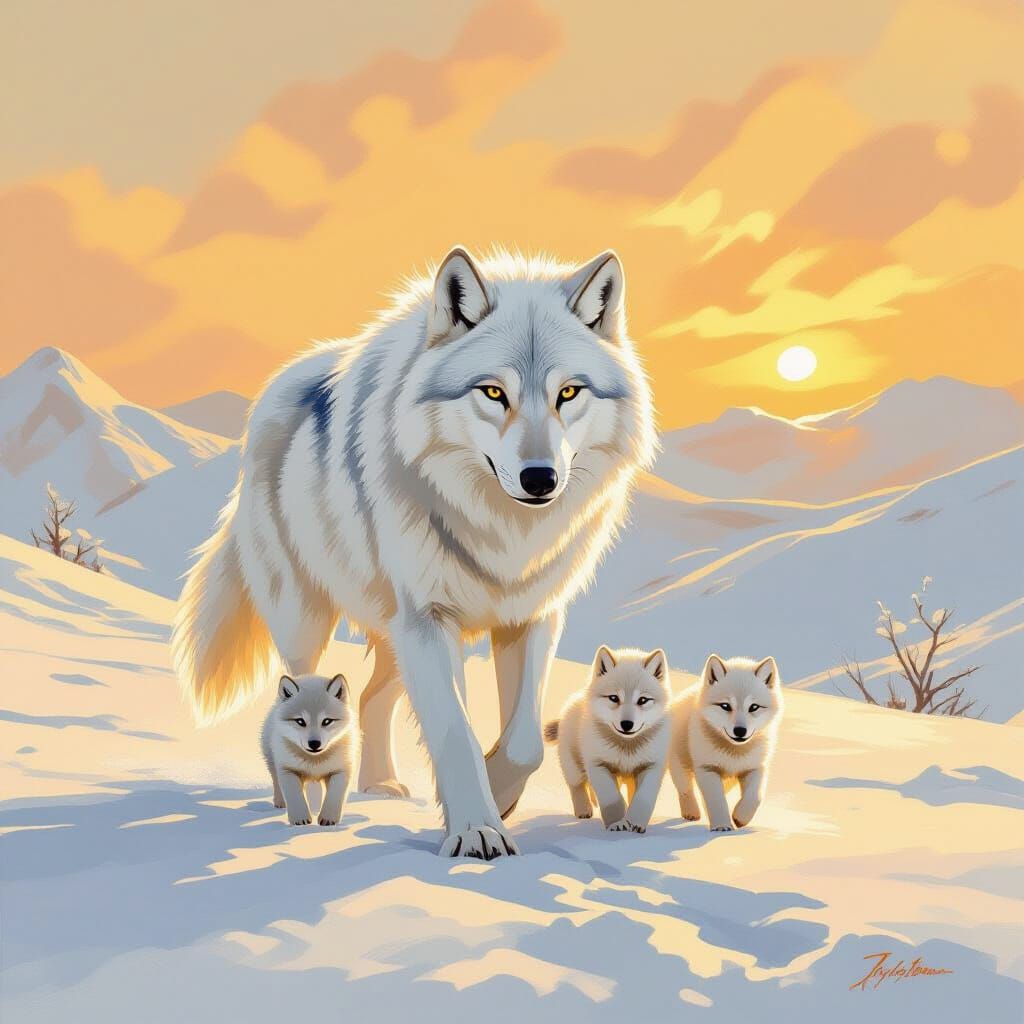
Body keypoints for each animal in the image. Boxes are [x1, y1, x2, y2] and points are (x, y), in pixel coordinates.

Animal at [261, 672, 357, 826]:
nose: (314, 743)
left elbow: (335, 796)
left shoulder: (341, 769)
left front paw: (328, 819)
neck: (315, 762)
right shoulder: (288, 769)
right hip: (272, 762)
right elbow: (294, 795)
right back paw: (280, 803)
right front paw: (300, 819)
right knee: (276, 783)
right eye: (300, 721)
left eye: (327, 721)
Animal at [544, 646, 670, 833]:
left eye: (643, 700)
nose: (627, 724)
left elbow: (642, 798)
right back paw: (583, 810)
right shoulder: (598, 765)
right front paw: (616, 823)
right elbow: (611, 797)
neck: (626, 747)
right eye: (614, 698)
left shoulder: (652, 766)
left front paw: (635, 822)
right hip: (573, 765)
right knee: (576, 786)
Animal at [668, 655, 783, 831]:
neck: (733, 753)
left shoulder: (756, 768)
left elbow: (755, 797)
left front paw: (740, 818)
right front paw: (722, 826)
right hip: (681, 766)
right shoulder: (707, 768)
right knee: (686, 790)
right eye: (725, 706)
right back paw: (691, 812)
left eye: (754, 707)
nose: (740, 731)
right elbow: (716, 800)